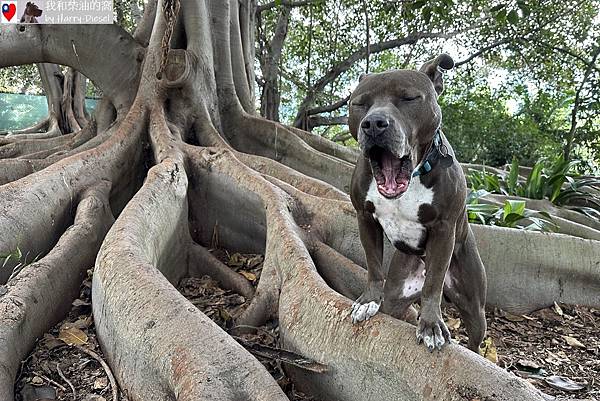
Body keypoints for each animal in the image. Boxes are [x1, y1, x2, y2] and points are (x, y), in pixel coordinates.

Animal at [346, 54, 488, 350]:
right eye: (360, 103)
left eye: (409, 98)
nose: (374, 123)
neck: (412, 176)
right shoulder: (364, 217)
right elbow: (373, 264)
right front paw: (368, 300)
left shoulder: (444, 229)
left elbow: (433, 284)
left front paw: (431, 324)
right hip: (398, 293)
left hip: (474, 306)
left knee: (474, 335)